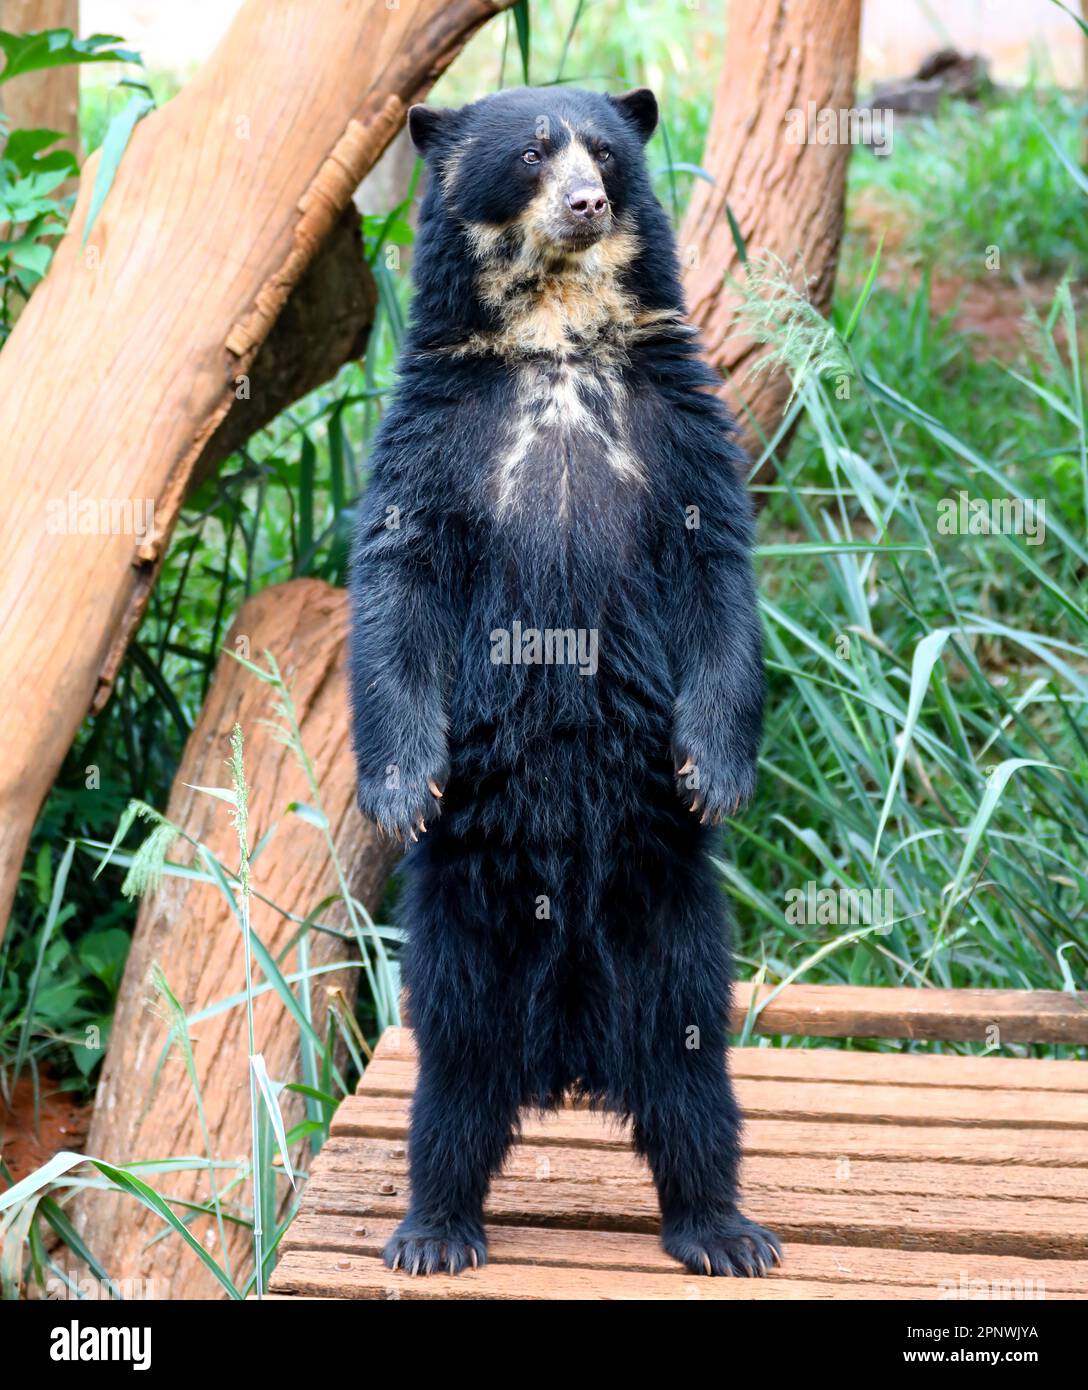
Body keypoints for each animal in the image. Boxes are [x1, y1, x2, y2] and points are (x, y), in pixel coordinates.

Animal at [348, 85, 780, 1279]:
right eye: (534, 154)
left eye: (605, 152)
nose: (587, 202)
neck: (553, 337)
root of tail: (572, 1056)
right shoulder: (434, 433)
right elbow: (397, 582)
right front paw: (401, 791)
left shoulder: (679, 426)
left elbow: (719, 577)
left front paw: (713, 774)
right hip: (461, 926)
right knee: (451, 1076)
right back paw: (433, 1229)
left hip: (676, 922)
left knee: (691, 1076)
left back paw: (723, 1229)